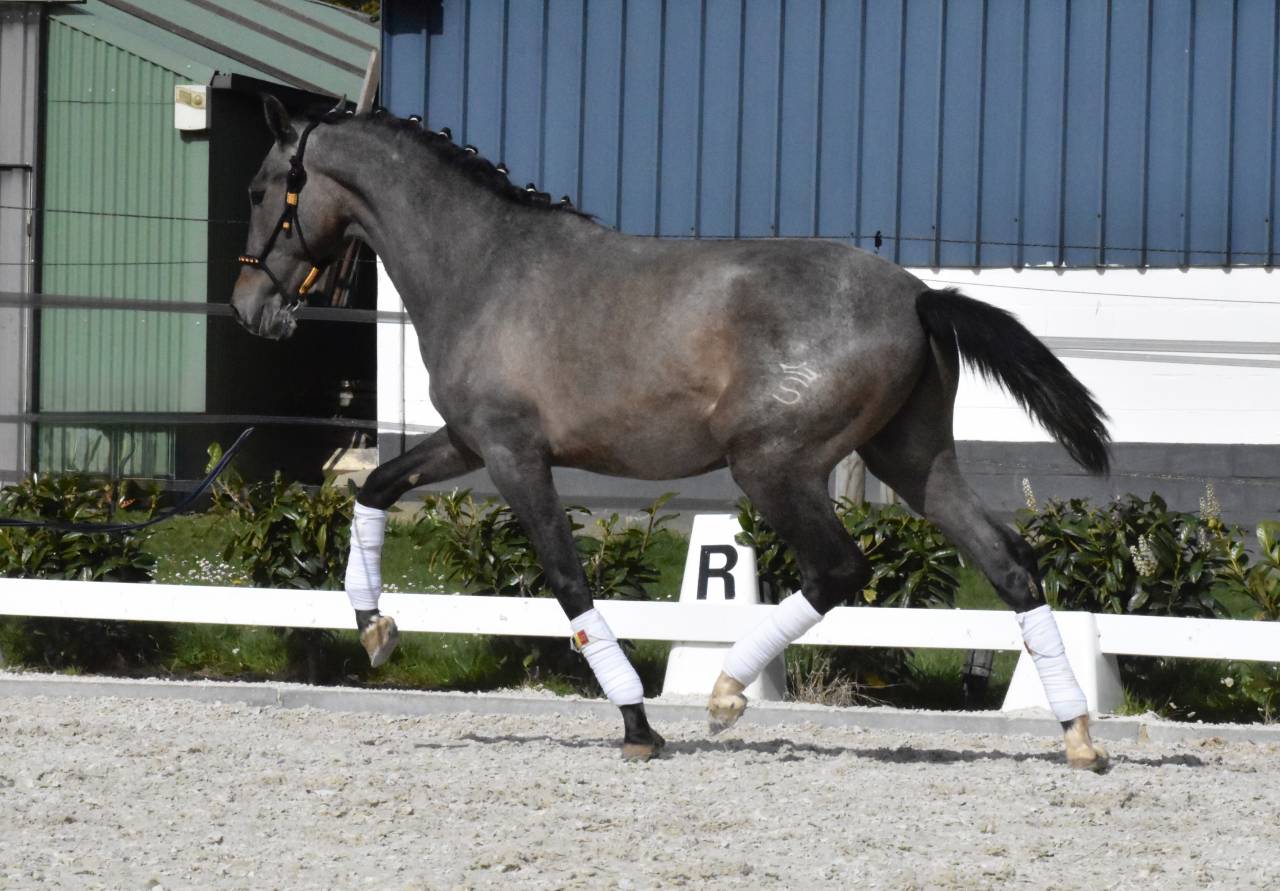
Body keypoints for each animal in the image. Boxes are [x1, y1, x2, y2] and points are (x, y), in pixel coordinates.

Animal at [231, 96, 1112, 770]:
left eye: (262, 187)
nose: (249, 309)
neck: (483, 267)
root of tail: (920, 295)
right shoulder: (470, 443)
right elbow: (376, 489)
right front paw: (375, 630)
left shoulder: (516, 456)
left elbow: (568, 581)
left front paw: (638, 725)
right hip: (913, 459)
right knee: (1010, 561)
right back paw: (1078, 735)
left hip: (772, 467)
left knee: (839, 568)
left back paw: (724, 693)